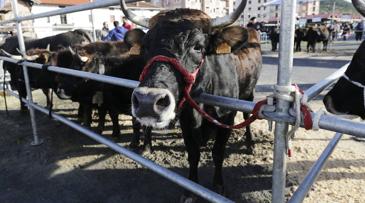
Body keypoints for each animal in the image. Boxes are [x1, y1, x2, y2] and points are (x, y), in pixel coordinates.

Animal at [121, 0, 260, 198]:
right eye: (146, 46)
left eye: (198, 47)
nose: (148, 101)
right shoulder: (186, 120)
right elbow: (193, 154)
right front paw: (190, 190)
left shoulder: (227, 117)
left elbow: (218, 153)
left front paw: (218, 185)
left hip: (248, 93)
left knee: (248, 117)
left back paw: (250, 143)